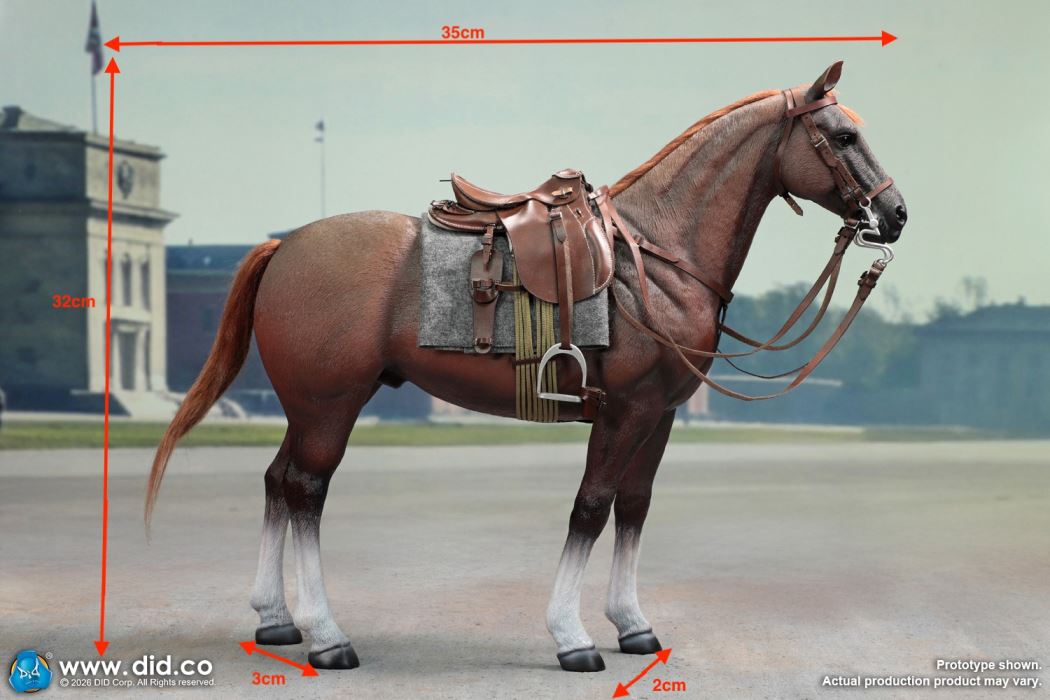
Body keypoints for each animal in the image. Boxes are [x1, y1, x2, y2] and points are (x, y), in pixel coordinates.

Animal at [146, 61, 907, 673]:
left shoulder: (660, 415)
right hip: (331, 406)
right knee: (306, 491)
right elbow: (591, 507)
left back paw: (276, 620)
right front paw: (572, 636)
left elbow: (634, 507)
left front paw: (633, 625)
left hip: (305, 407)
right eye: (843, 137)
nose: (896, 213)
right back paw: (328, 637)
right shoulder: (625, 411)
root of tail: (284, 245)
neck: (656, 257)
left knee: (278, 483)